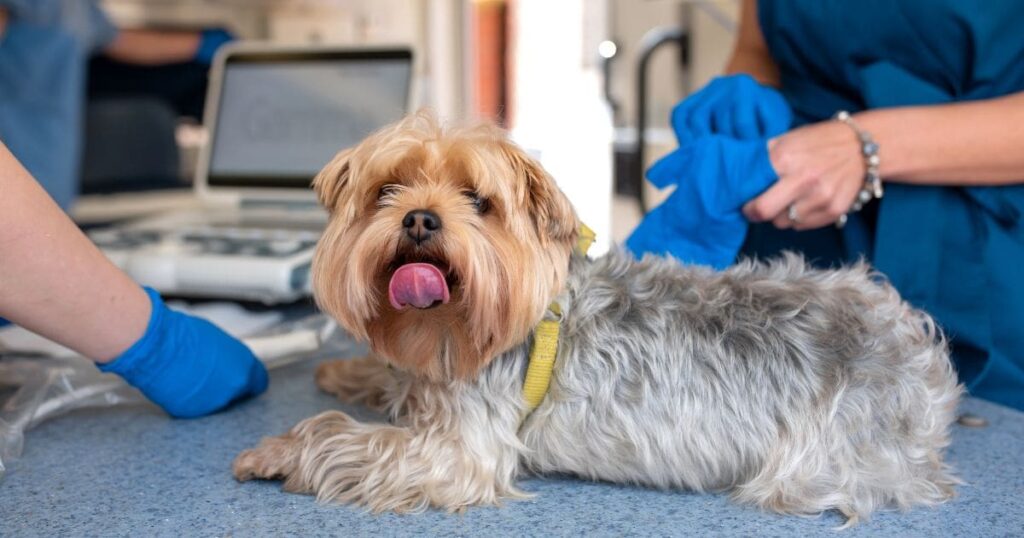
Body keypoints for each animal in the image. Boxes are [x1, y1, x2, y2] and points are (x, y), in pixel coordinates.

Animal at [232, 111, 958, 524]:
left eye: (478, 200)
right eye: (387, 190)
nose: (418, 218)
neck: (453, 329)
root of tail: (918, 351)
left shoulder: (459, 450)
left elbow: (346, 438)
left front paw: (277, 449)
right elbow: (391, 380)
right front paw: (349, 373)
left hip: (815, 464)